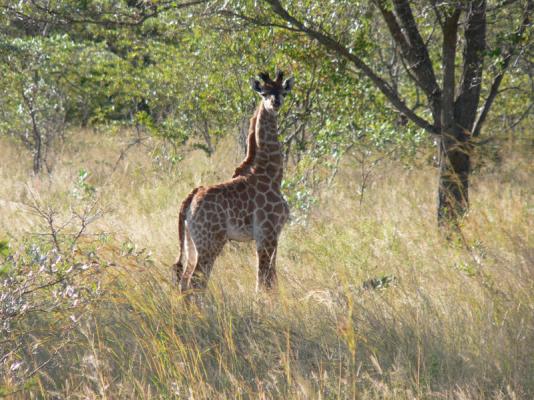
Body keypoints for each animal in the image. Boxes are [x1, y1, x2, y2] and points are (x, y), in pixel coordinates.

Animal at [173, 70, 296, 292]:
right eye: (264, 93)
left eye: (283, 91)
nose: (275, 102)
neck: (271, 174)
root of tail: (189, 200)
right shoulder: (266, 233)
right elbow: (263, 281)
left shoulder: (273, 234)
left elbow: (271, 279)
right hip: (211, 241)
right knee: (196, 281)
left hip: (191, 242)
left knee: (184, 281)